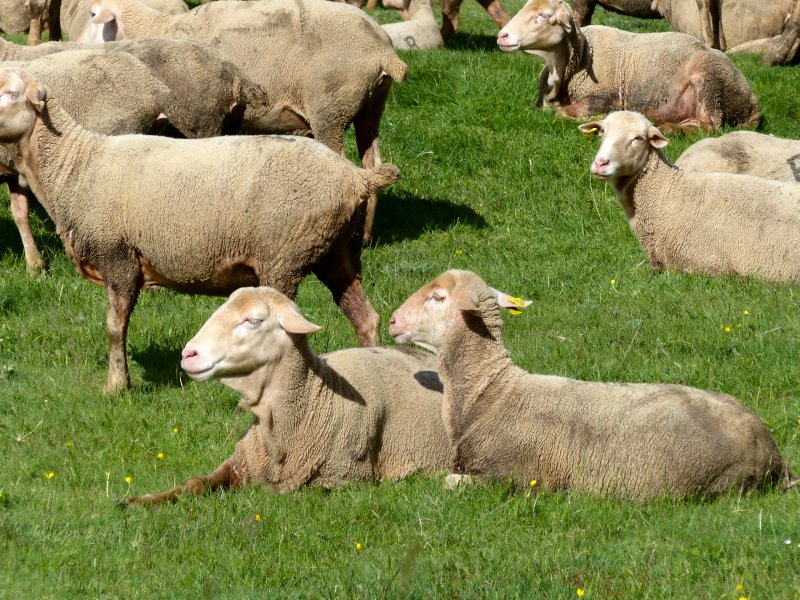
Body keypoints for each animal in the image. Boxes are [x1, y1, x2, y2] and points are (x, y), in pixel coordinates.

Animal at [0, 67, 399, 392]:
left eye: (9, 92)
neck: (76, 166)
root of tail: (356, 178)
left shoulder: (118, 255)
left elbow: (114, 327)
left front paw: (116, 386)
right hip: (338, 251)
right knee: (366, 317)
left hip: (284, 255)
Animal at [75, 0, 409, 243]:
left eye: (92, 14)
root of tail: (382, 50)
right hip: (371, 106)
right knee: (372, 162)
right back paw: (365, 238)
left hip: (330, 110)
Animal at [123, 286, 450, 505]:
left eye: (252, 321)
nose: (188, 354)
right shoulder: (241, 463)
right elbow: (195, 483)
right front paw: (139, 501)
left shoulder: (338, 480)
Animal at [389, 269, 796, 500]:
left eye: (438, 297)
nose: (392, 320)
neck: (489, 392)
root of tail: (771, 449)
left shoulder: (514, 478)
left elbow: (448, 482)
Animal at [496, 0, 761, 131]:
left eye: (543, 15)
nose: (502, 36)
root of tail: (753, 101)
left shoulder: (604, 97)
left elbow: (562, 113)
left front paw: (601, 117)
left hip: (710, 82)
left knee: (712, 125)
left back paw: (669, 129)